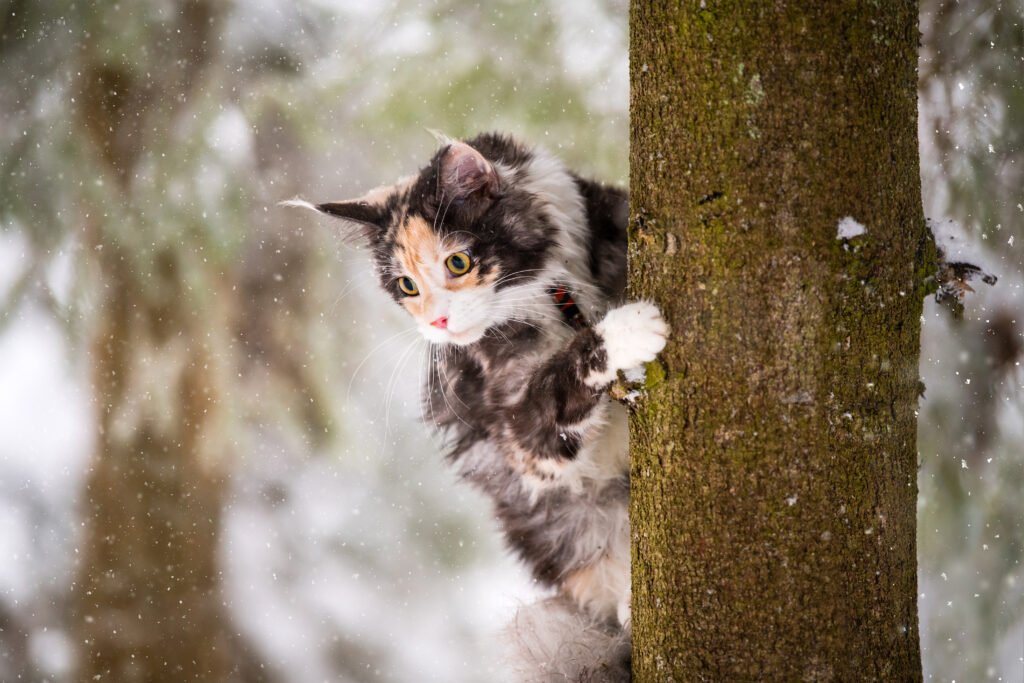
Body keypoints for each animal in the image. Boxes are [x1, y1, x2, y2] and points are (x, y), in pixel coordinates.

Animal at [280, 133, 667, 683]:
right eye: (407, 287)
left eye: (457, 263)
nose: (438, 322)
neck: (558, 298)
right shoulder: (521, 438)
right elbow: (561, 378)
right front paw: (628, 330)